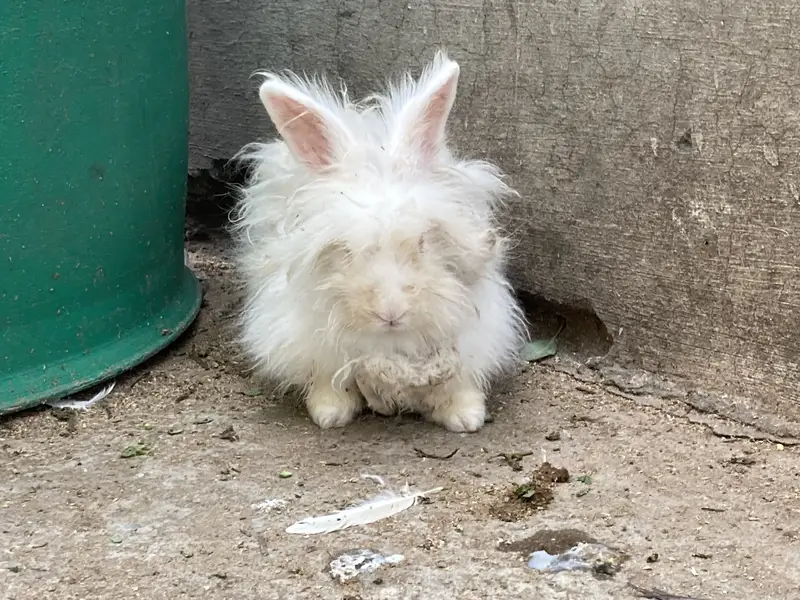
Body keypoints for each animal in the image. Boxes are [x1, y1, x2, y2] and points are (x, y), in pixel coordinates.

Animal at [231, 50, 528, 432]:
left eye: (422, 242)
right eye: (345, 251)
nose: (390, 312)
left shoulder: (477, 334)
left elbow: (457, 382)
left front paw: (466, 417)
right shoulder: (304, 339)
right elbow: (329, 381)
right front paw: (330, 414)